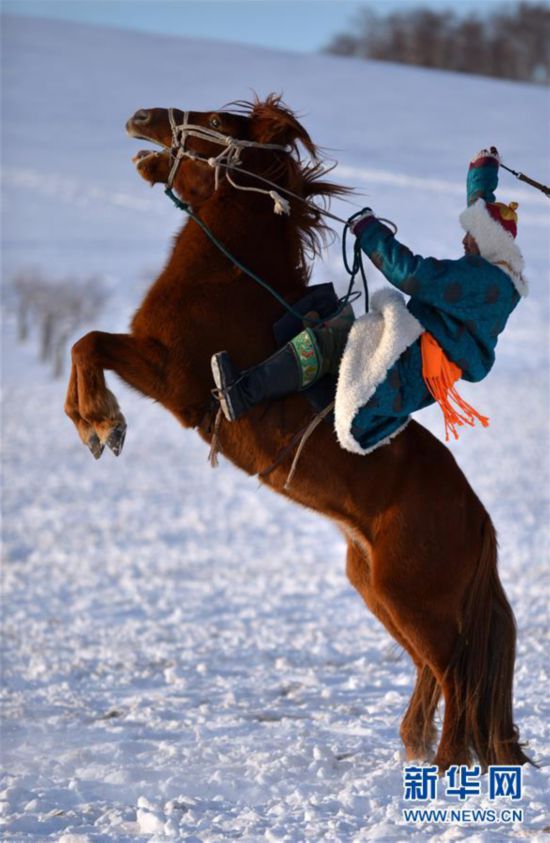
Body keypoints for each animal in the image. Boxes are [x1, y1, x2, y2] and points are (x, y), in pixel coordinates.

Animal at [63, 94, 532, 772]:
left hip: (412, 598)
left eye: (219, 123)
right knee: (432, 669)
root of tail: (478, 520)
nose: (143, 117)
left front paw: (103, 423)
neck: (227, 280)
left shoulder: (169, 373)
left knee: (455, 673)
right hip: (379, 591)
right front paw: (91, 423)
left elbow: (90, 343)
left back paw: (443, 764)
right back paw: (413, 747)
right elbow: (85, 345)